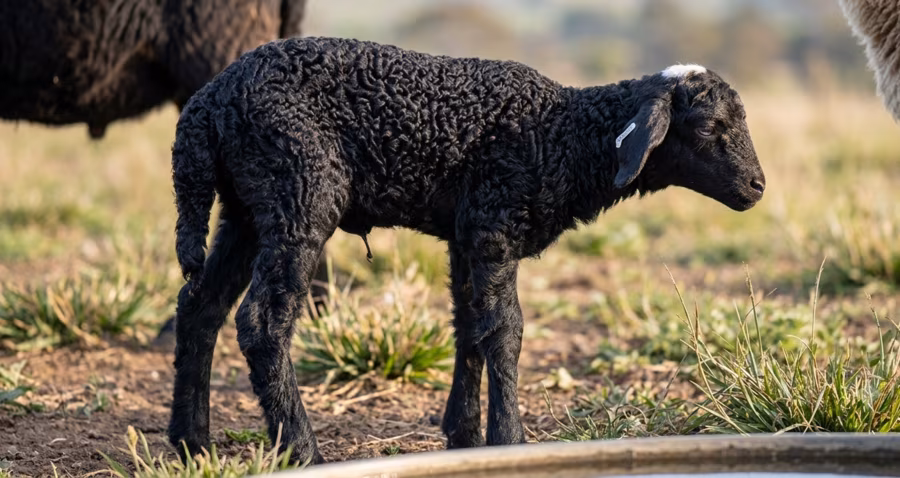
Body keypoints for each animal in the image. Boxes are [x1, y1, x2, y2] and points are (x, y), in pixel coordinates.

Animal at [167, 37, 766, 464]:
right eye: (709, 126)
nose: (758, 187)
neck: (564, 137)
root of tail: (206, 104)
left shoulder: (465, 233)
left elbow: (469, 325)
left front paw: (465, 435)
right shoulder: (494, 220)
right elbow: (505, 330)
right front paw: (509, 439)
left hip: (247, 210)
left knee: (200, 306)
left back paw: (192, 443)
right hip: (300, 191)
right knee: (262, 321)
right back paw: (302, 450)